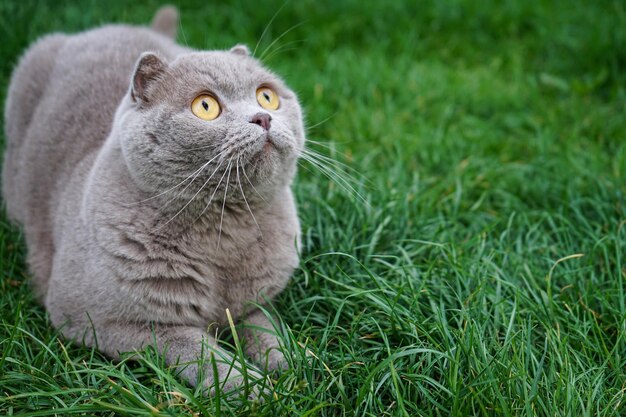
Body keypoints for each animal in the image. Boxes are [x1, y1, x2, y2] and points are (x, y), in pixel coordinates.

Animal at [0, 5, 302, 396]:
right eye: (206, 106)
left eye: (267, 96)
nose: (263, 117)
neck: (224, 233)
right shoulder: (96, 319)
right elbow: (194, 346)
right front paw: (249, 388)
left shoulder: (256, 300)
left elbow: (264, 326)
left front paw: (291, 364)